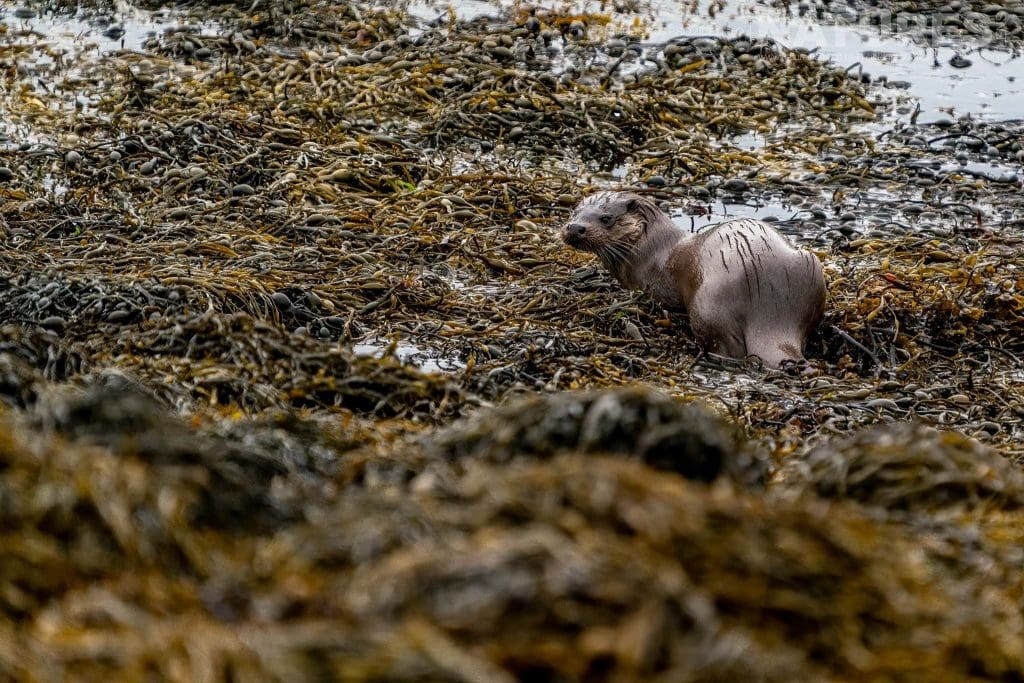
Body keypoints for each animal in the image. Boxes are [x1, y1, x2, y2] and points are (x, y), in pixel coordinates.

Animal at [565, 192, 827, 368]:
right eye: (574, 212)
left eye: (606, 218)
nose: (574, 227)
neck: (650, 247)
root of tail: (770, 310)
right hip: (809, 268)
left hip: (708, 304)